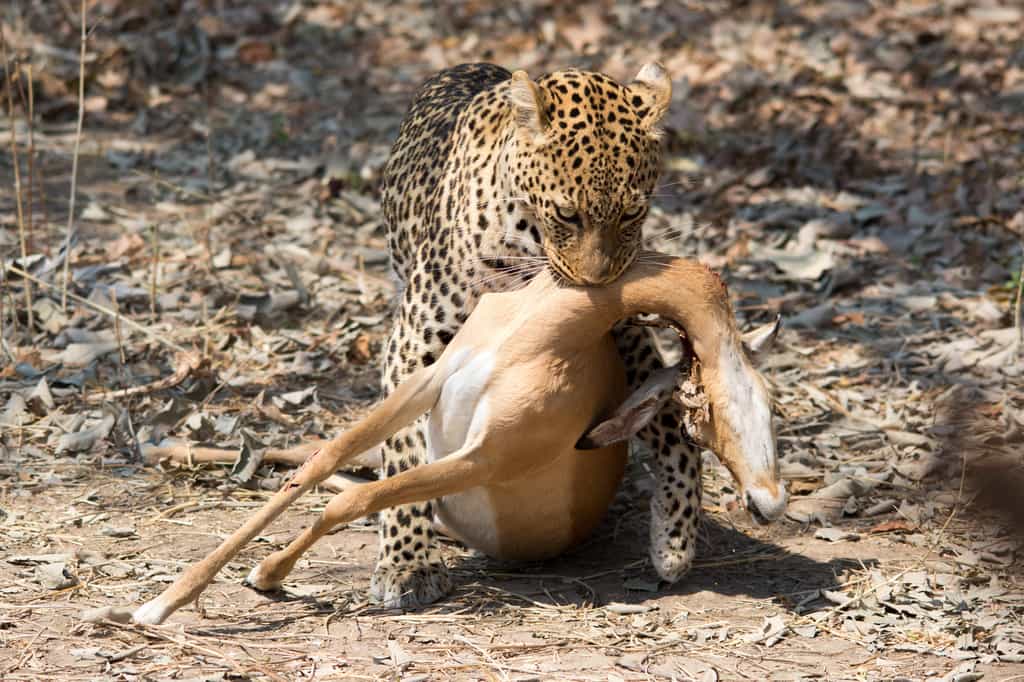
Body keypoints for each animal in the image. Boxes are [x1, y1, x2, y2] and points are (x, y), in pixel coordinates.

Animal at [122, 252, 785, 625]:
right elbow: (320, 466)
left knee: (357, 483)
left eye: (771, 404)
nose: (768, 502)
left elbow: (352, 498)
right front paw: (170, 599)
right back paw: (165, 450)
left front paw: (261, 574)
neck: (539, 335)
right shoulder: (427, 383)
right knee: (316, 459)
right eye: (705, 412)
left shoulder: (485, 458)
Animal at [374, 62, 703, 607]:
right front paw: (408, 564)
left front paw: (675, 535)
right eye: (568, 214)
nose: (597, 282)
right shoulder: (415, 344)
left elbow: (674, 428)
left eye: (632, 213)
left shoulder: (628, 342)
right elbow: (402, 452)